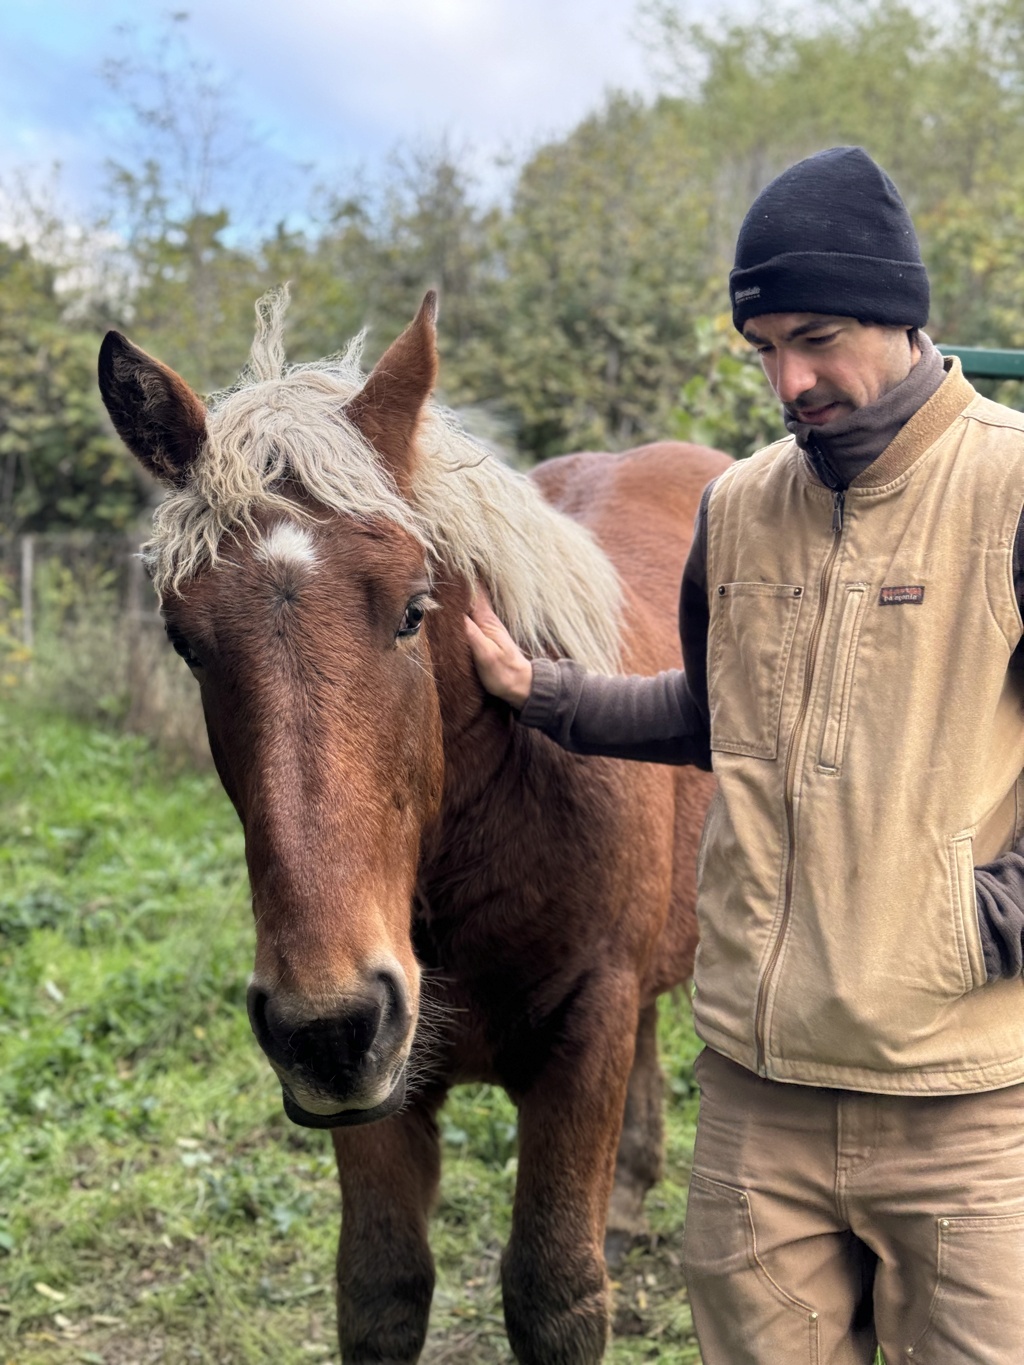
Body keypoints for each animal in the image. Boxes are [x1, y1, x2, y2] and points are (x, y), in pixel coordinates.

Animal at [100, 293, 731, 1359]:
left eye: (412, 609)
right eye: (185, 640)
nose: (326, 1026)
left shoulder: (586, 1034)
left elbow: (555, 1291)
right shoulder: (375, 1086)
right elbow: (381, 1289)